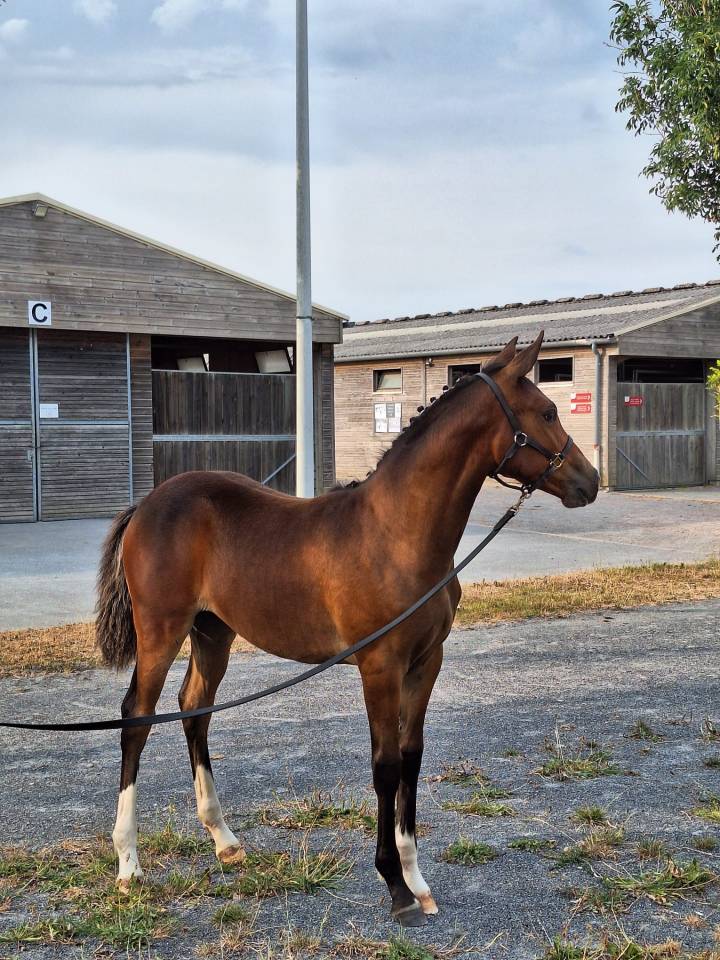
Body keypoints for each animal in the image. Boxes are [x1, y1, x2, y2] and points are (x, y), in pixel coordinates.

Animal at [95, 331, 598, 927]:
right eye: (546, 411)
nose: (590, 481)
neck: (397, 534)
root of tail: (148, 503)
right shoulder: (380, 666)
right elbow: (384, 765)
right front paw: (395, 887)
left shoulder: (425, 663)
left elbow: (411, 758)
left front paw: (417, 879)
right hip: (161, 631)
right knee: (137, 719)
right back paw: (128, 863)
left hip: (213, 632)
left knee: (194, 710)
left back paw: (224, 840)